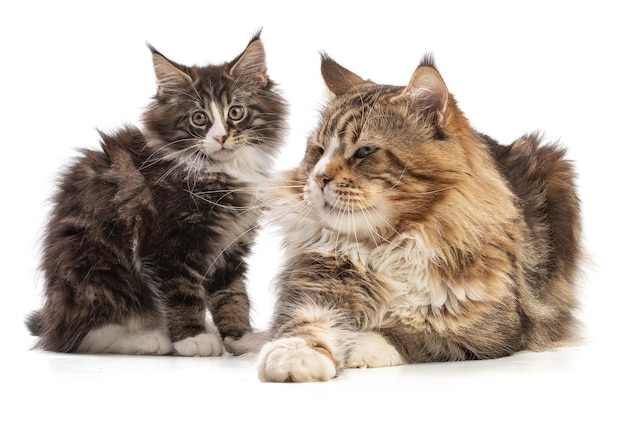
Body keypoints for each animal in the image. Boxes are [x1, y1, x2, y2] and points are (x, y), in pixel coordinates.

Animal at [25, 32, 286, 354]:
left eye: (235, 112)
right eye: (199, 118)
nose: (221, 137)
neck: (218, 172)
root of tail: (53, 315)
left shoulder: (231, 246)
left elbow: (232, 293)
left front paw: (240, 337)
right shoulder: (166, 244)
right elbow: (182, 292)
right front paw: (192, 338)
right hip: (98, 270)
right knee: (82, 336)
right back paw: (151, 338)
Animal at [255, 54, 580, 382]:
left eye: (365, 151)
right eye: (318, 151)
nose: (319, 177)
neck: (390, 243)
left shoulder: (488, 330)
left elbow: (410, 334)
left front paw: (357, 345)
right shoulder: (316, 286)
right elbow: (304, 323)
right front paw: (294, 356)